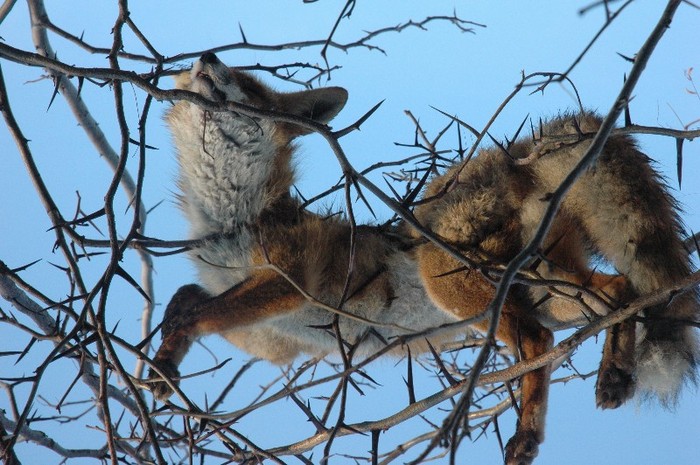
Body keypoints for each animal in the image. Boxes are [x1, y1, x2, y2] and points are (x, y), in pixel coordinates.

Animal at [146, 50, 696, 464]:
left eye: (246, 84)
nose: (207, 56)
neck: (231, 220)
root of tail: (516, 158)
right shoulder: (268, 340)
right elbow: (187, 299)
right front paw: (162, 361)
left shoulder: (287, 280)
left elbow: (198, 311)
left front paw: (165, 356)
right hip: (548, 292)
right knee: (618, 293)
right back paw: (613, 375)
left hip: (456, 279)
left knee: (538, 340)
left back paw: (527, 435)